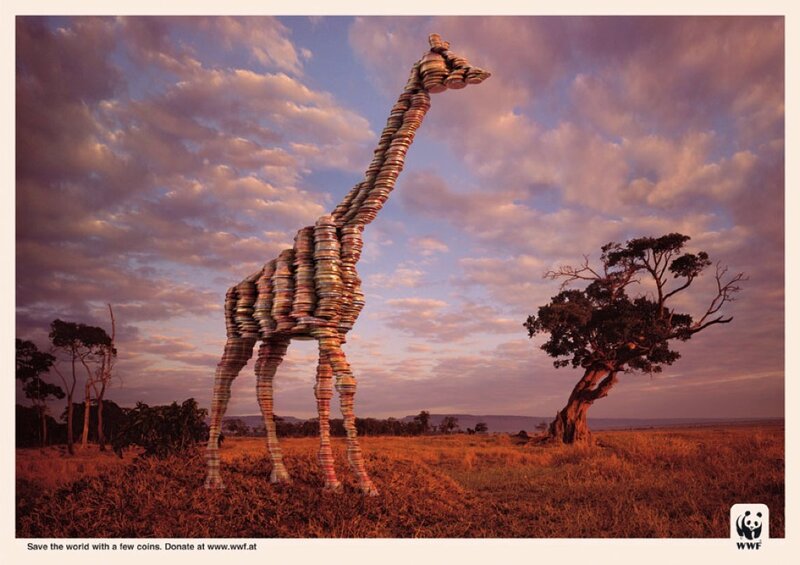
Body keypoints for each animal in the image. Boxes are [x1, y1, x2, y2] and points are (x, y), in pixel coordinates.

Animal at [205, 33, 490, 495]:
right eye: (442, 57)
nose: (478, 73)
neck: (350, 230)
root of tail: (230, 290)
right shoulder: (325, 329)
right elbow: (347, 386)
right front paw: (365, 483)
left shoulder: (333, 330)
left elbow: (323, 392)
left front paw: (333, 481)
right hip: (239, 334)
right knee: (222, 380)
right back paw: (213, 479)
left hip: (276, 337)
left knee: (264, 382)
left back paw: (280, 473)